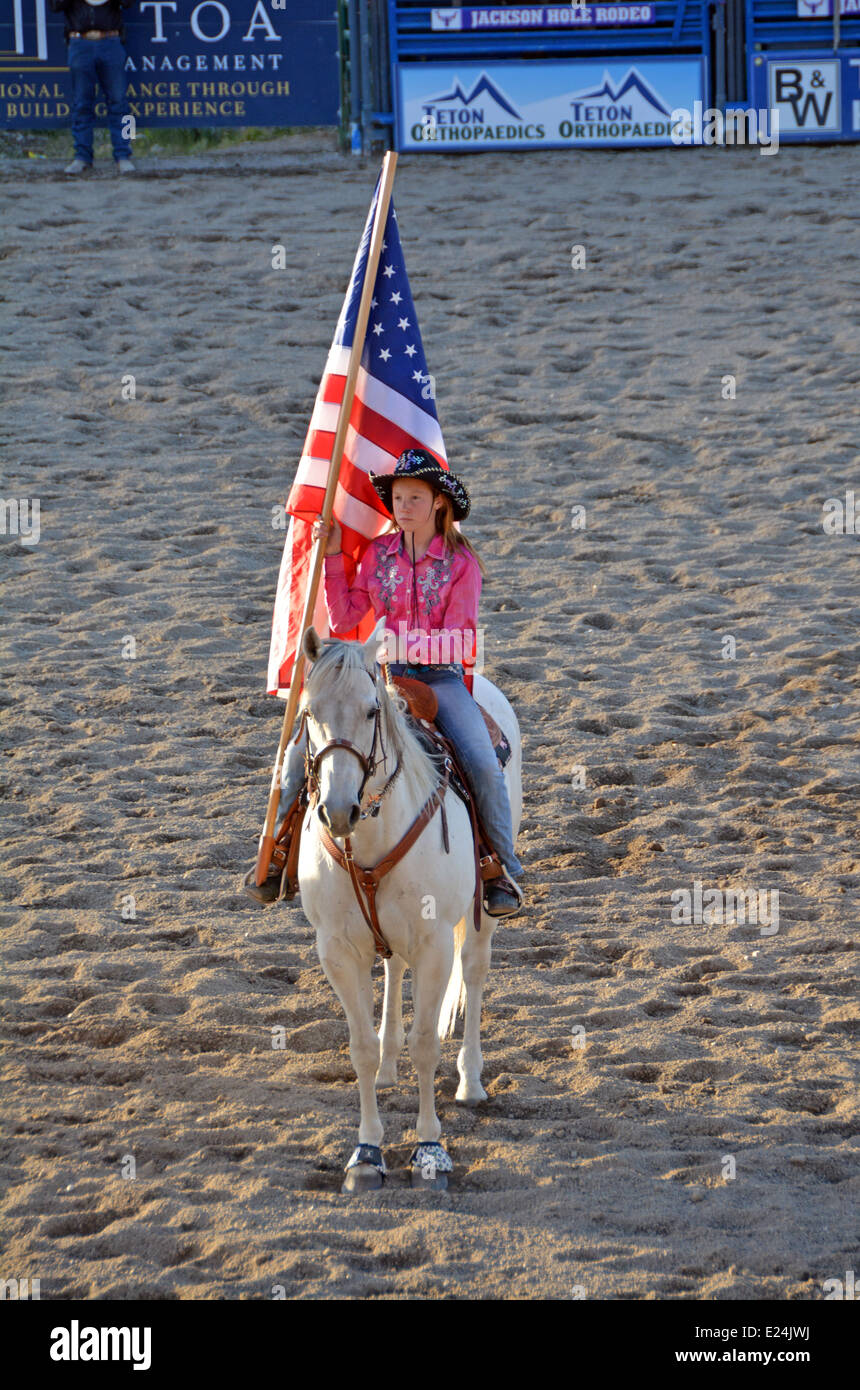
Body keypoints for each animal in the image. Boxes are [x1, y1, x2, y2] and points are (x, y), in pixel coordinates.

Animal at [295, 622, 525, 1195]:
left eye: (371, 711)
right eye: (308, 712)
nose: (338, 809)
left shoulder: (435, 944)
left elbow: (426, 1043)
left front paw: (429, 1151)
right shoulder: (337, 950)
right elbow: (359, 1047)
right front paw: (366, 1154)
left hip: (480, 915)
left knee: (474, 973)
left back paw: (470, 1081)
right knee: (393, 968)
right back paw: (388, 1067)